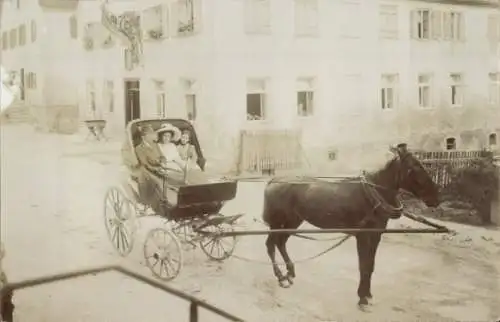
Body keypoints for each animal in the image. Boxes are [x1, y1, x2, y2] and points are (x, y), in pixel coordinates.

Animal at [260, 143, 440, 310]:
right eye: (413, 168)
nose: (436, 199)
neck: (373, 196)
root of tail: (274, 180)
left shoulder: (376, 235)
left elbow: (371, 265)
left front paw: (368, 295)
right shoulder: (362, 236)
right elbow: (363, 266)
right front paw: (362, 298)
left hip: (293, 221)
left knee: (280, 242)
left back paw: (290, 273)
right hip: (277, 222)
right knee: (270, 245)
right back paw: (281, 277)